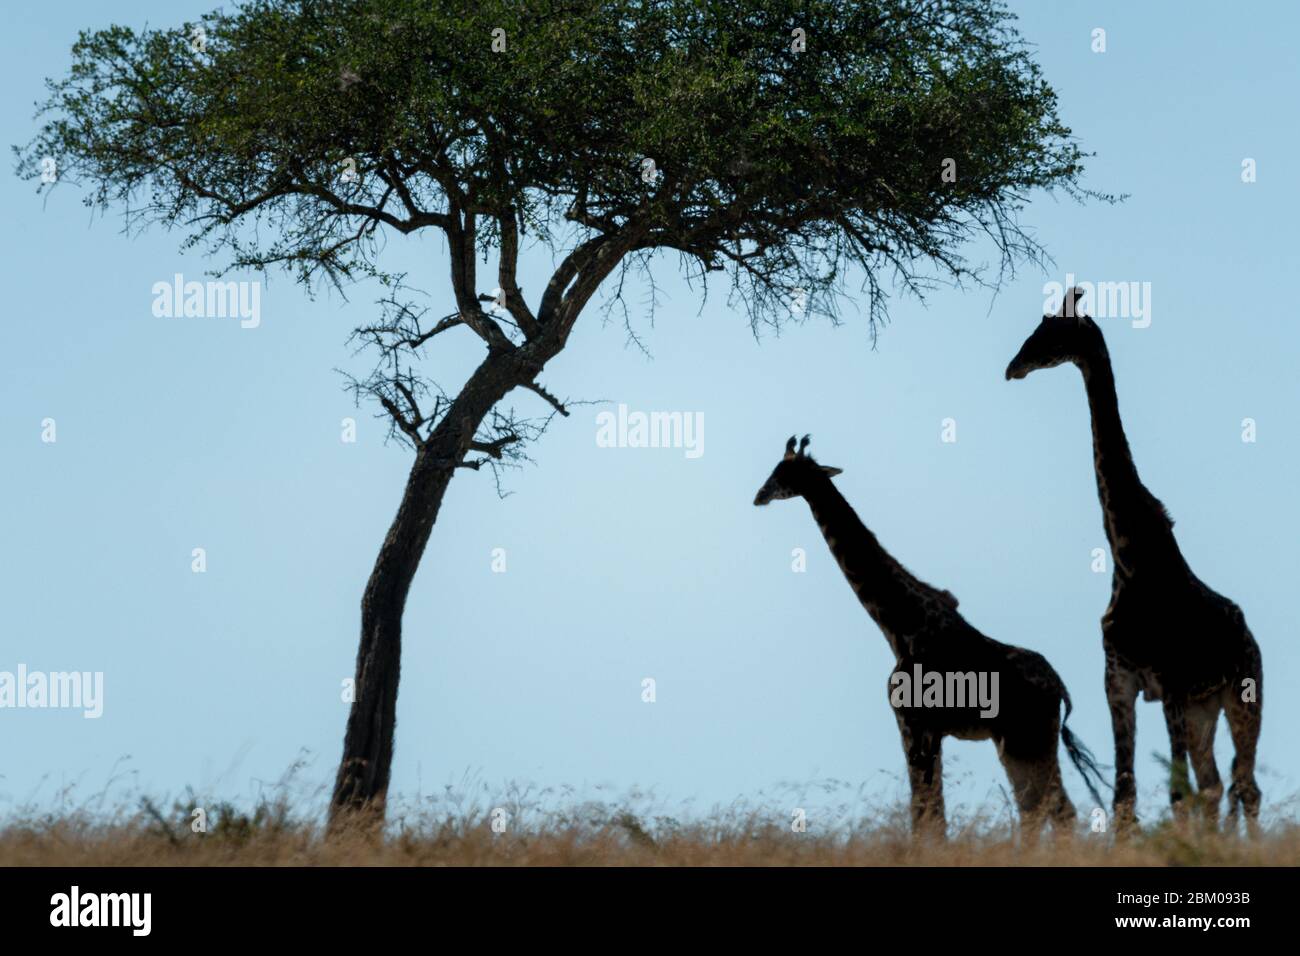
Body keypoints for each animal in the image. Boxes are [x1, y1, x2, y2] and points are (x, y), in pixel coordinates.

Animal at [754, 437, 1107, 842]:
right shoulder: (929, 730)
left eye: (784, 471)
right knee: (1041, 808)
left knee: (1053, 809)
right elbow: (932, 812)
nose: (759, 495)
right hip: (1016, 742)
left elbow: (926, 812)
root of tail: (1061, 689)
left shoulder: (913, 723)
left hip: (1029, 738)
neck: (898, 623)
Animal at [1003, 287, 1258, 832]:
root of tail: (1250, 636)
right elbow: (1125, 796)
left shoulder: (1171, 686)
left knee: (1244, 786)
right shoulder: (1118, 683)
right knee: (1216, 784)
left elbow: (1176, 794)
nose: (1013, 367)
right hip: (1206, 708)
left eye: (1053, 329)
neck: (1127, 558)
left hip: (1242, 695)